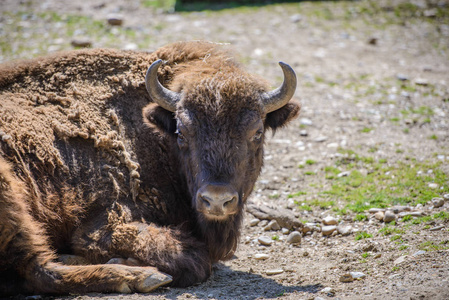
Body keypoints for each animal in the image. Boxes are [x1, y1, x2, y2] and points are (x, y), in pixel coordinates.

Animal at [0, 41, 300, 296]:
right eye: (181, 133)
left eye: (257, 133)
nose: (216, 200)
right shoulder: (104, 222)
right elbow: (192, 258)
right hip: (11, 192)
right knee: (39, 271)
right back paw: (140, 276)